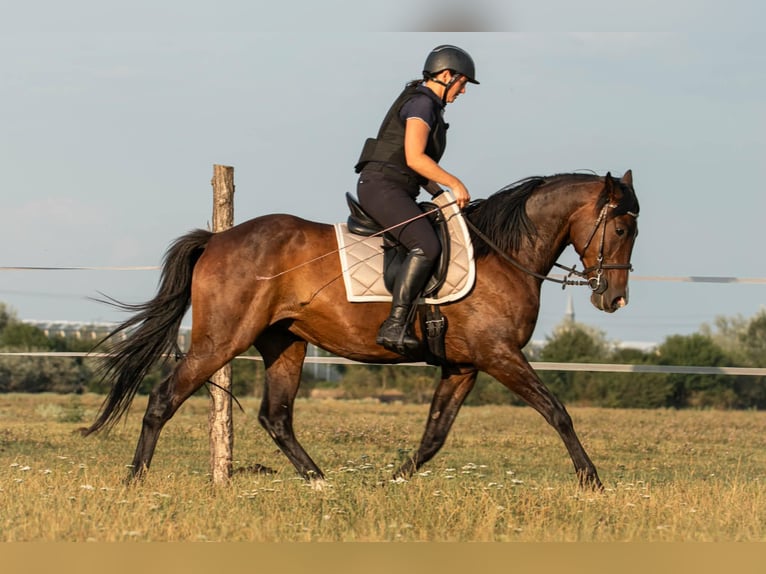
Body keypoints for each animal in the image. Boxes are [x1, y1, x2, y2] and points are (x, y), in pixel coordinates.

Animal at [83, 170, 639, 490]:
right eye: (621, 227)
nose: (613, 299)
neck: (501, 253)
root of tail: (218, 239)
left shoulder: (464, 365)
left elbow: (435, 435)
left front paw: (390, 483)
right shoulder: (499, 355)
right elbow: (557, 411)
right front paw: (592, 481)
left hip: (285, 342)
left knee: (276, 417)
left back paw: (321, 483)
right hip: (221, 341)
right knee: (163, 399)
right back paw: (134, 480)